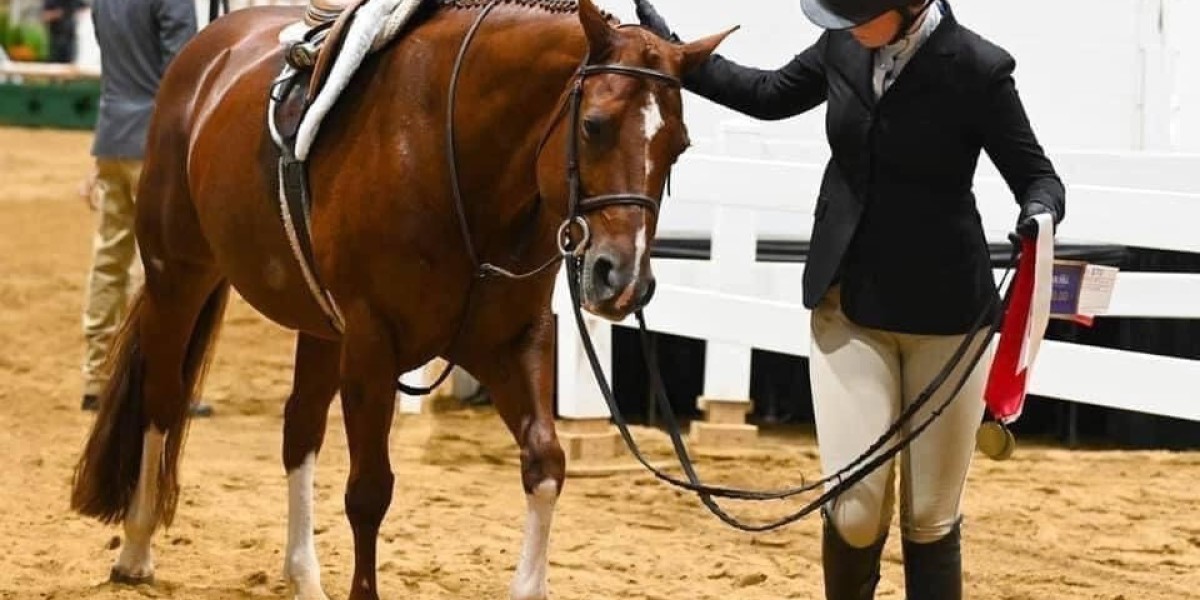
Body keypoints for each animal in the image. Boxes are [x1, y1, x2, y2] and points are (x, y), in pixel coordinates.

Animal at [72, 0, 729, 597]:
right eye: (594, 124)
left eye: (678, 144)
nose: (623, 277)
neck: (453, 154)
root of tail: (204, 57)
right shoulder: (371, 343)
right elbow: (369, 491)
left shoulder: (513, 341)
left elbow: (546, 463)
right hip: (178, 276)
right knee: (163, 400)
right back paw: (135, 551)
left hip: (318, 327)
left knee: (299, 427)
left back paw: (303, 577)